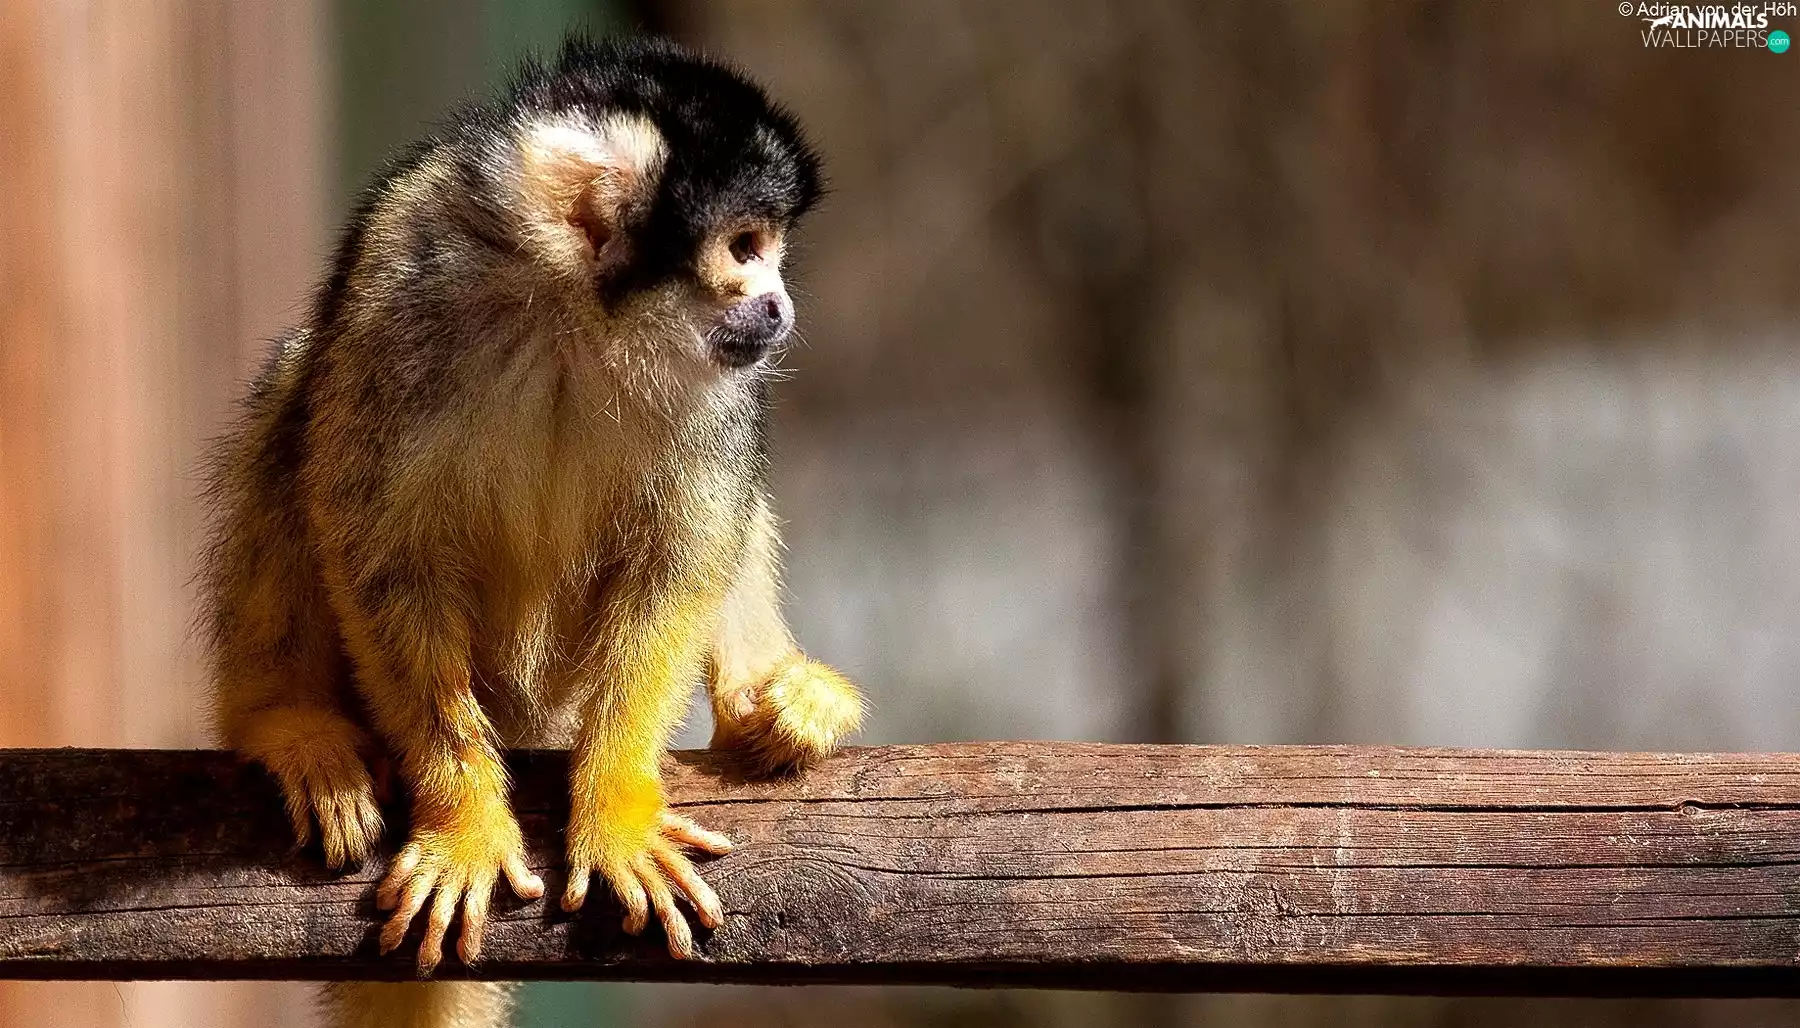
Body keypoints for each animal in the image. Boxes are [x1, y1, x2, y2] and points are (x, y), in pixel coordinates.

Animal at [198, 36, 864, 1028]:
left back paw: (766, 703)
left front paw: (618, 807)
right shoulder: (405, 281)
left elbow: (679, 556)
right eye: (746, 248)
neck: (580, 317)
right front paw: (465, 819)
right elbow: (379, 545)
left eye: (774, 249)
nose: (780, 306)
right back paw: (283, 718)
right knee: (298, 393)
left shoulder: (721, 379)